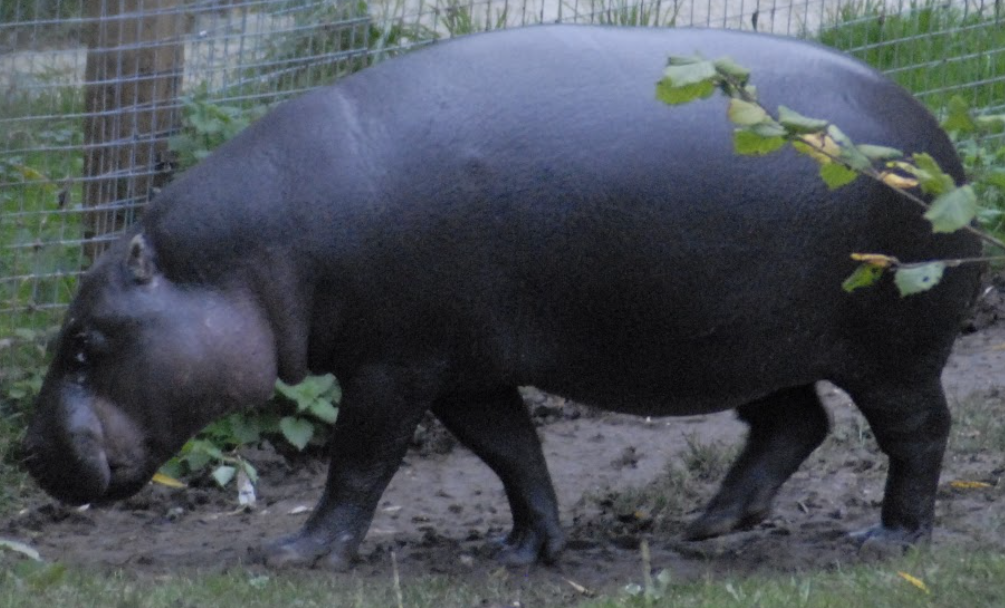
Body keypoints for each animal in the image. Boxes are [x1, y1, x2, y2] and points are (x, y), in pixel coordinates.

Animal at [24, 24, 981, 568]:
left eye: (85, 342)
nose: (28, 457)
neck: (245, 262)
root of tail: (941, 155)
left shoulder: (393, 367)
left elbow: (359, 465)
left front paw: (295, 554)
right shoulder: (462, 370)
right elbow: (513, 454)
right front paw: (525, 550)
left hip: (888, 352)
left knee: (917, 433)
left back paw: (887, 539)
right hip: (749, 341)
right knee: (794, 422)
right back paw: (706, 527)